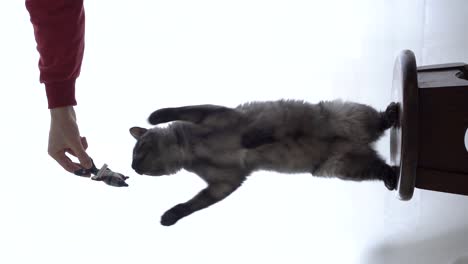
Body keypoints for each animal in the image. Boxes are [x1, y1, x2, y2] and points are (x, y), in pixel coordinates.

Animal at [129, 98, 398, 225]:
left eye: (138, 150)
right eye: (135, 158)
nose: (134, 168)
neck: (192, 150)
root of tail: (361, 141)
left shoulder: (219, 115)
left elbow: (174, 110)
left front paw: (153, 116)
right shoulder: (224, 184)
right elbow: (192, 205)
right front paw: (169, 217)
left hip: (347, 116)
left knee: (380, 121)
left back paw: (392, 114)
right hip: (343, 165)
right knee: (380, 167)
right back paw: (392, 177)